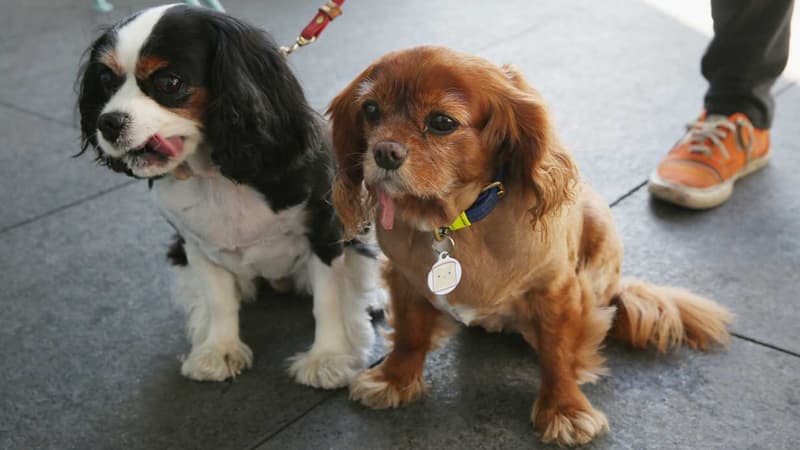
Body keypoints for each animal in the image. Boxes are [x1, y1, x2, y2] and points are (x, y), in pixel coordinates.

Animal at [77, 4, 384, 386]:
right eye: (105, 80)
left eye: (169, 83)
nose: (108, 122)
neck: (214, 176)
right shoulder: (196, 244)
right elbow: (218, 299)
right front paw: (219, 350)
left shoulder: (326, 232)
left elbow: (328, 299)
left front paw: (328, 358)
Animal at [324, 46, 732, 446]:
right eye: (370, 110)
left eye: (442, 122)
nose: (384, 152)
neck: (451, 222)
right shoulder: (405, 279)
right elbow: (410, 334)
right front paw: (393, 379)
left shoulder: (557, 292)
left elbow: (558, 353)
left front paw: (564, 410)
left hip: (600, 228)